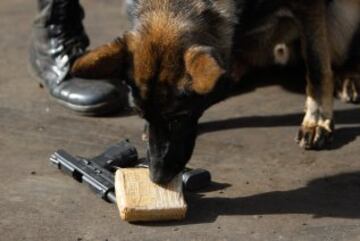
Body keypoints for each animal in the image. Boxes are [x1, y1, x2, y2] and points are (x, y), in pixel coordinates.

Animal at [71, 0, 360, 183]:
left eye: (178, 117)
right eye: (141, 114)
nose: (156, 177)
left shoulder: (309, 8)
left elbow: (317, 66)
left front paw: (317, 120)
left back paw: (349, 75)